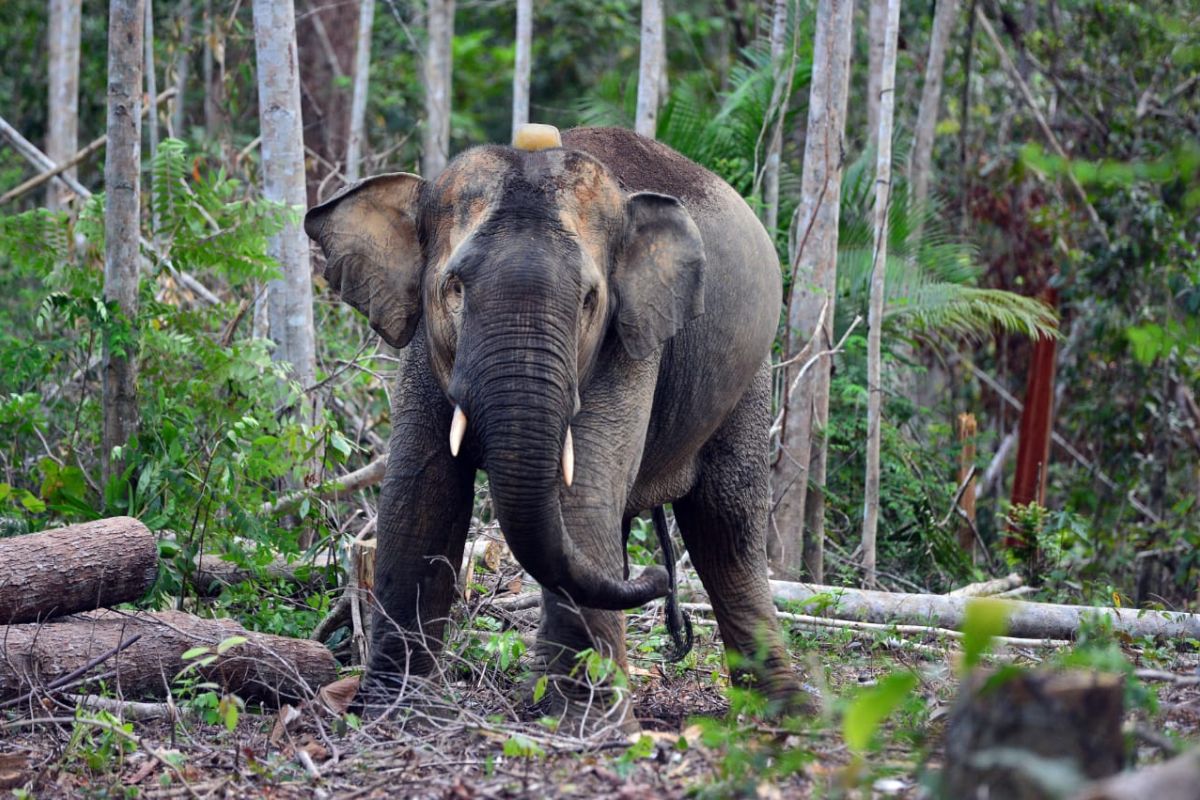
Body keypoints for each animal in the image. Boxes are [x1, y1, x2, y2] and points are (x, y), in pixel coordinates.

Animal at [302, 125, 806, 724]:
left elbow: (580, 491)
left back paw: (785, 713)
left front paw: (579, 723)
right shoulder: (426, 345)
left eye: (589, 299)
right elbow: (421, 492)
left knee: (725, 522)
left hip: (750, 372)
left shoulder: (628, 341)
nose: (656, 577)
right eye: (454, 286)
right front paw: (391, 712)